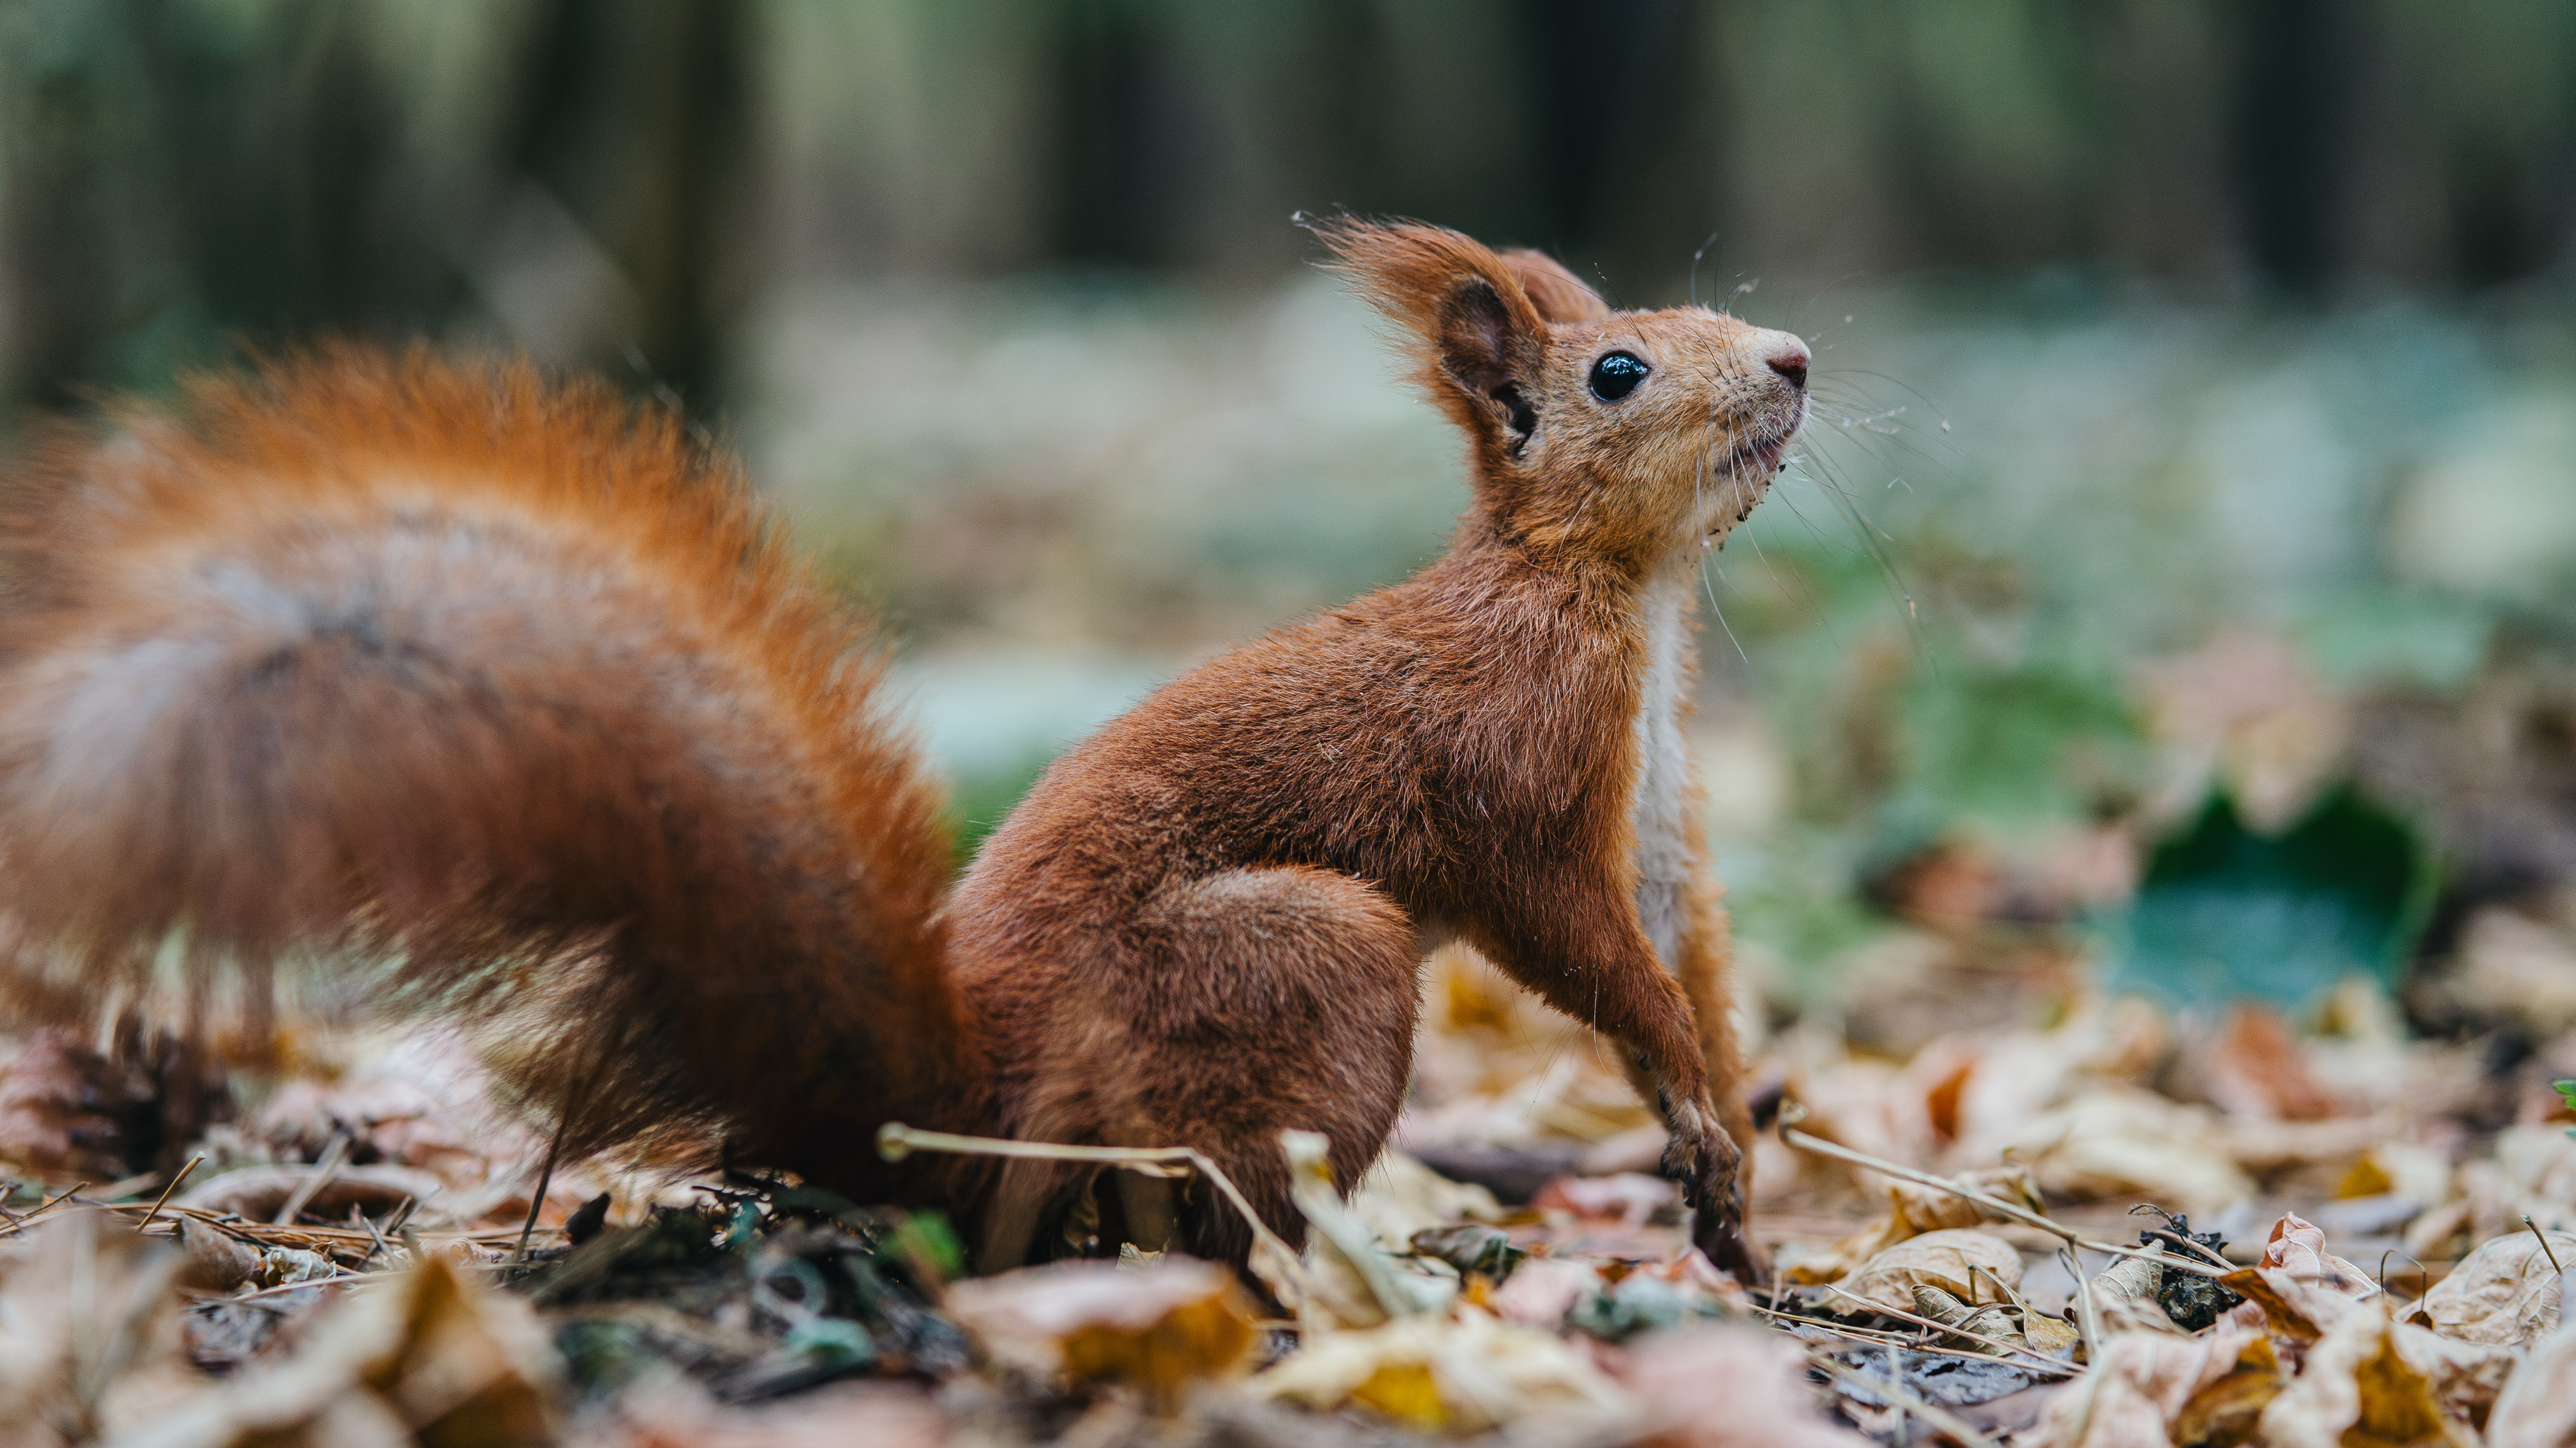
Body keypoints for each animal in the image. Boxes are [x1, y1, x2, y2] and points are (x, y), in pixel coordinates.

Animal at [0, 216, 1814, 1272]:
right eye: (1619, 366)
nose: (1796, 357)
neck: (1616, 594)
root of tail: (960, 1101)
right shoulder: (1515, 781)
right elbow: (1584, 952)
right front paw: (1697, 1113)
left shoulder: (1652, 803)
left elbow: (1685, 954)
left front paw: (1727, 1151)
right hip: (1298, 962)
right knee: (1201, 1204)